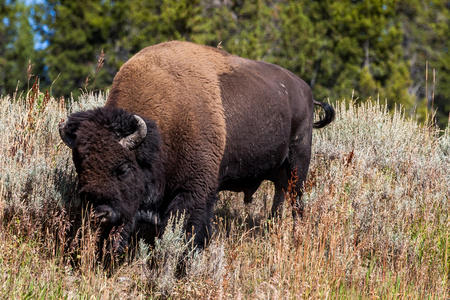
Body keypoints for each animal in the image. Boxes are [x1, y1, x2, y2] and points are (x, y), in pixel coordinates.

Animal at [59, 41, 334, 254]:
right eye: (80, 167)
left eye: (123, 168)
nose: (100, 213)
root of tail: (305, 90)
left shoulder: (193, 189)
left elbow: (187, 227)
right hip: (277, 171)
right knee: (279, 198)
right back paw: (272, 230)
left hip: (298, 162)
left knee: (296, 200)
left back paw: (296, 237)